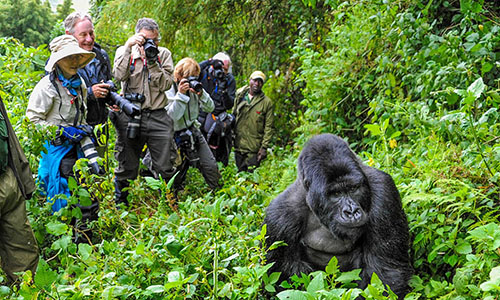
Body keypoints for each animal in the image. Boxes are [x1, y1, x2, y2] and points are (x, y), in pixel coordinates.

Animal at [264, 135, 412, 298]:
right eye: (335, 193)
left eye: (353, 188)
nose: (351, 212)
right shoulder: (279, 219)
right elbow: (283, 279)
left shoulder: (384, 191)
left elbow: (386, 272)